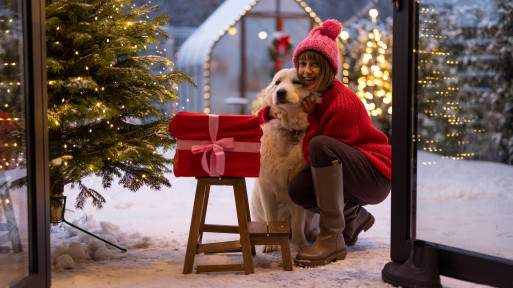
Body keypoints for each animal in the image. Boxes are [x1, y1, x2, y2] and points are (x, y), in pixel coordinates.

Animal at [250, 68, 318, 252]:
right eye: (278, 82)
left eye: (297, 82)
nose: (280, 92)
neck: (288, 129)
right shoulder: (266, 187)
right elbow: (271, 218)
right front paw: (271, 244)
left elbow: (298, 221)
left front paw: (301, 244)